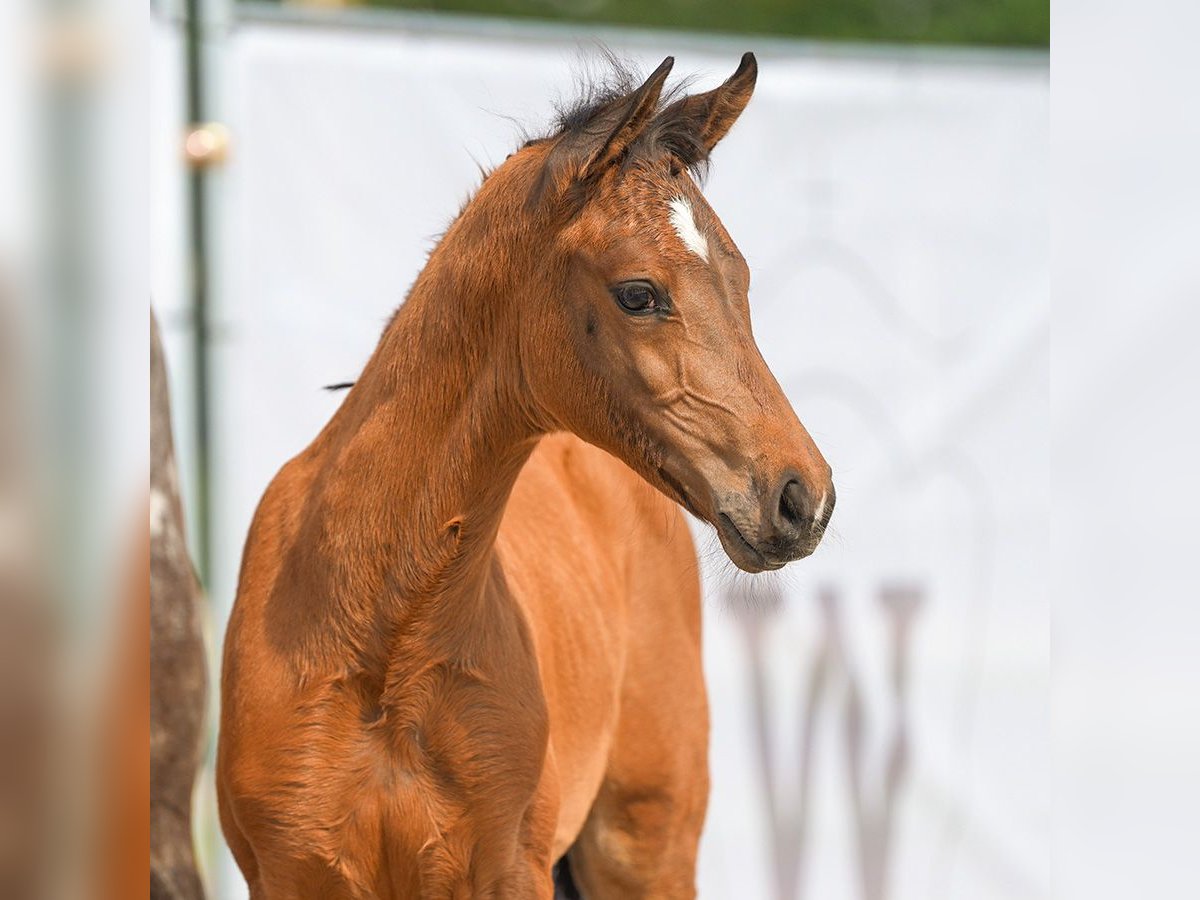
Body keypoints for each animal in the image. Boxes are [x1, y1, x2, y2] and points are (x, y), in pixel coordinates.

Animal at [216, 52, 835, 897]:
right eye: (637, 293)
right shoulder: (291, 872)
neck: (380, 648)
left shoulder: (513, 869)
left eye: (739, 278)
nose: (803, 496)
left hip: (647, 843)